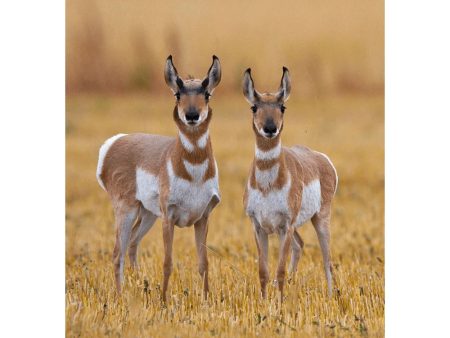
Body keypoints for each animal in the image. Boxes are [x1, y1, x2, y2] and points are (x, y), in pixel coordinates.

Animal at [96, 55, 221, 302]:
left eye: (207, 94)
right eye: (178, 94)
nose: (192, 115)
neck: (193, 173)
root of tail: (115, 142)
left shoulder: (203, 218)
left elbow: (204, 263)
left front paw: (206, 300)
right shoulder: (168, 218)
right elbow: (167, 262)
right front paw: (163, 301)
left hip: (147, 213)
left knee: (132, 244)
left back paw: (138, 285)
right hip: (127, 210)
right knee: (117, 253)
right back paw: (121, 297)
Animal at [243, 67, 338, 300]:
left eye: (282, 107)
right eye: (254, 107)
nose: (270, 128)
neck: (267, 186)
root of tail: (321, 157)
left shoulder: (284, 227)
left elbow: (280, 270)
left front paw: (279, 303)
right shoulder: (259, 227)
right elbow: (263, 271)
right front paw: (264, 301)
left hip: (319, 219)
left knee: (327, 261)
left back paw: (330, 298)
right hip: (293, 227)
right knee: (300, 245)